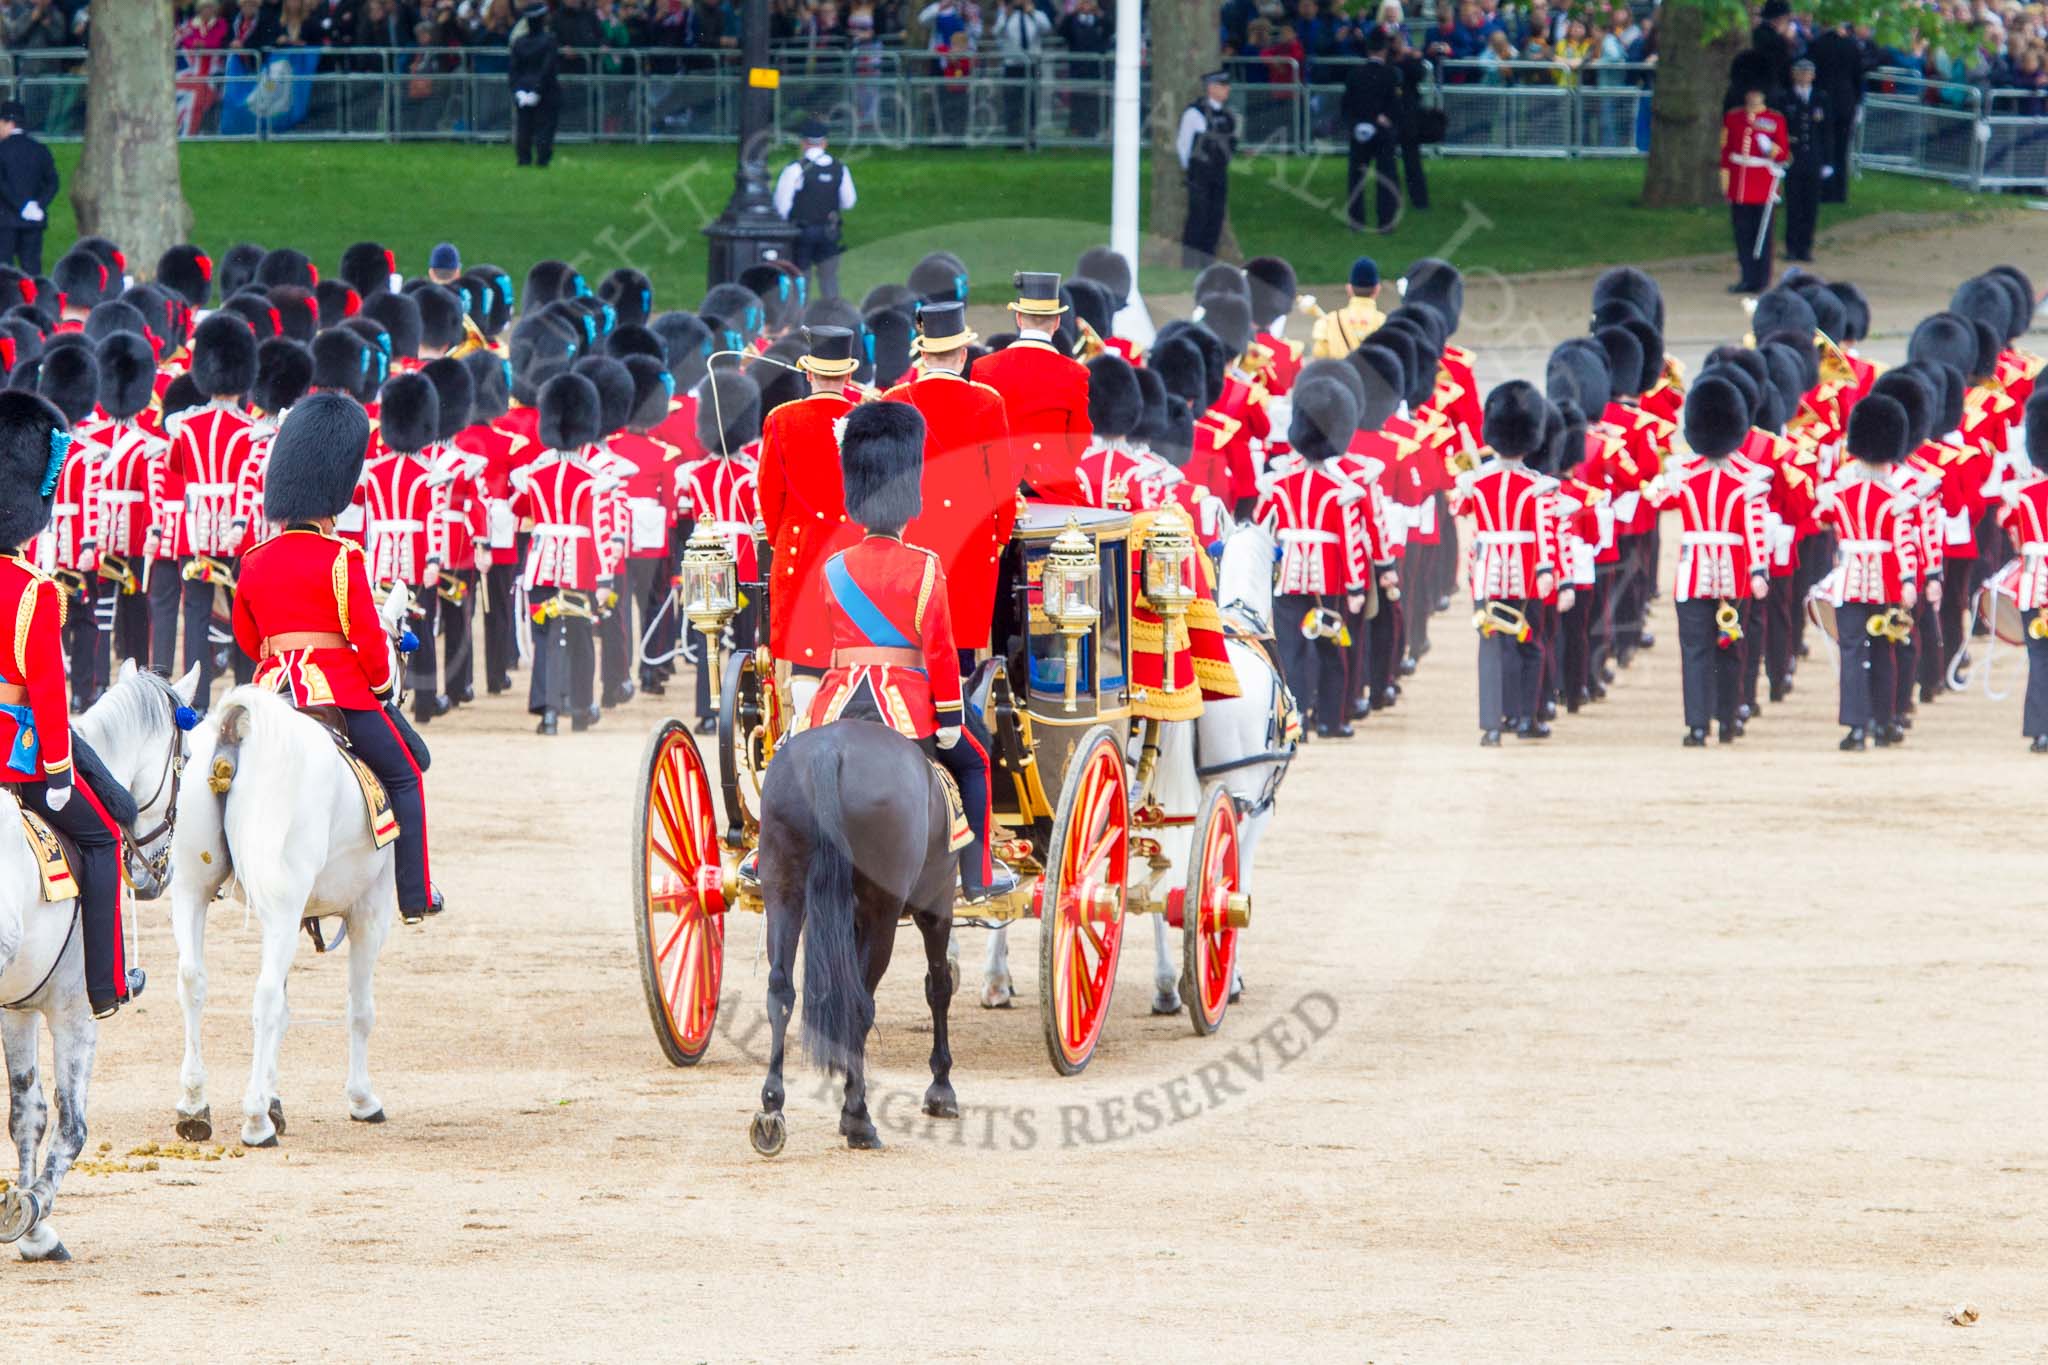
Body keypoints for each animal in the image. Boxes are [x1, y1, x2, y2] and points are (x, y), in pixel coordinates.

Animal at [0, 663, 197, 1260]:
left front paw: (31, 1225)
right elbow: (72, 1125)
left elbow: (27, 1115)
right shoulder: (75, 1011)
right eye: (187, 760)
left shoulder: (18, 1010)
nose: (160, 874)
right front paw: (36, 1212)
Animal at [753, 720, 958, 1162]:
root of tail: (829, 751)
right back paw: (860, 1118)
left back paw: (772, 1108)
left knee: (781, 992)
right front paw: (941, 1087)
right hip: (884, 913)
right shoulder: (937, 904)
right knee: (860, 1006)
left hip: (783, 889)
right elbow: (939, 987)